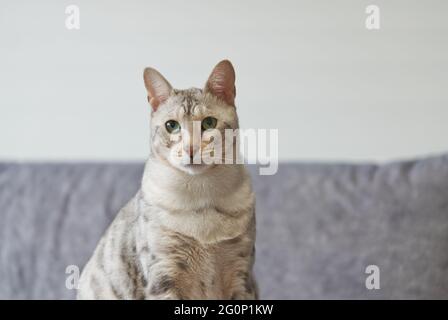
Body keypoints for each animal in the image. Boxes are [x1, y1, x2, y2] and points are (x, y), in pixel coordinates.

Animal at [78, 60, 260, 300]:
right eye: (171, 126)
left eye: (209, 123)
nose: (190, 149)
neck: (201, 195)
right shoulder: (163, 276)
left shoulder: (241, 273)